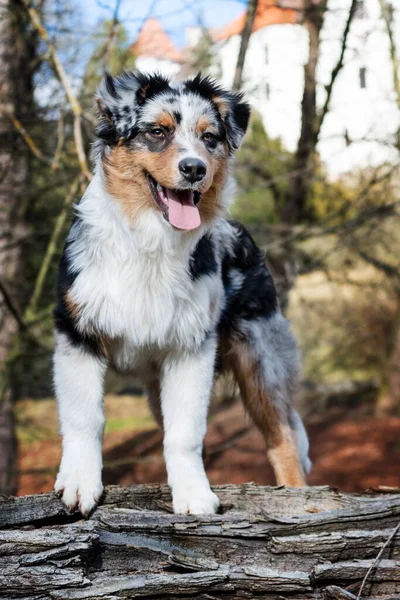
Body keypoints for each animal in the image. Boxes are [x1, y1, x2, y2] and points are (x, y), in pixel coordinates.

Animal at [53, 71, 310, 516]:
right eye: (157, 132)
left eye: (209, 138)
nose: (194, 168)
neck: (150, 241)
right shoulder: (77, 332)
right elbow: (85, 418)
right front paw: (80, 482)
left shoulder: (191, 348)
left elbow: (185, 433)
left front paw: (193, 495)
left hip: (262, 359)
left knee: (284, 438)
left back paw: (296, 500)